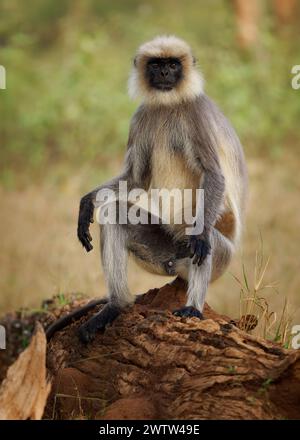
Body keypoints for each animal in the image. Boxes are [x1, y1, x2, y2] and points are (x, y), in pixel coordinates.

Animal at [47, 35, 247, 344]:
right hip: (164, 253)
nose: (164, 73)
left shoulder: (196, 114)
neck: (168, 104)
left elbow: (213, 174)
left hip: (220, 258)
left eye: (173, 65)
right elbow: (135, 179)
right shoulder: (140, 117)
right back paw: (116, 305)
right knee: (115, 212)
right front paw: (86, 204)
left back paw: (193, 307)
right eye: (156, 64)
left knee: (205, 239)